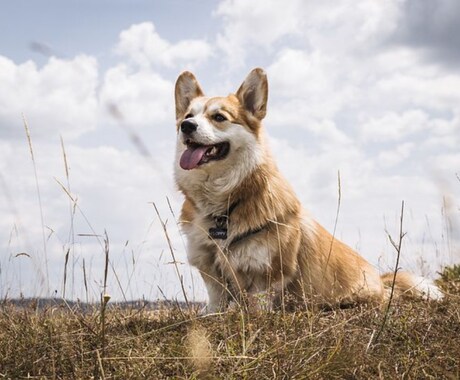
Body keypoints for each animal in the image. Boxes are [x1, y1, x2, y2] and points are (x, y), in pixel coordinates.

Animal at [172, 67, 442, 312]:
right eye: (188, 114)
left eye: (219, 117)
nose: (186, 126)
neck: (224, 202)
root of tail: (382, 281)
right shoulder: (210, 270)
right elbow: (215, 303)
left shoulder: (267, 275)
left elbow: (259, 308)